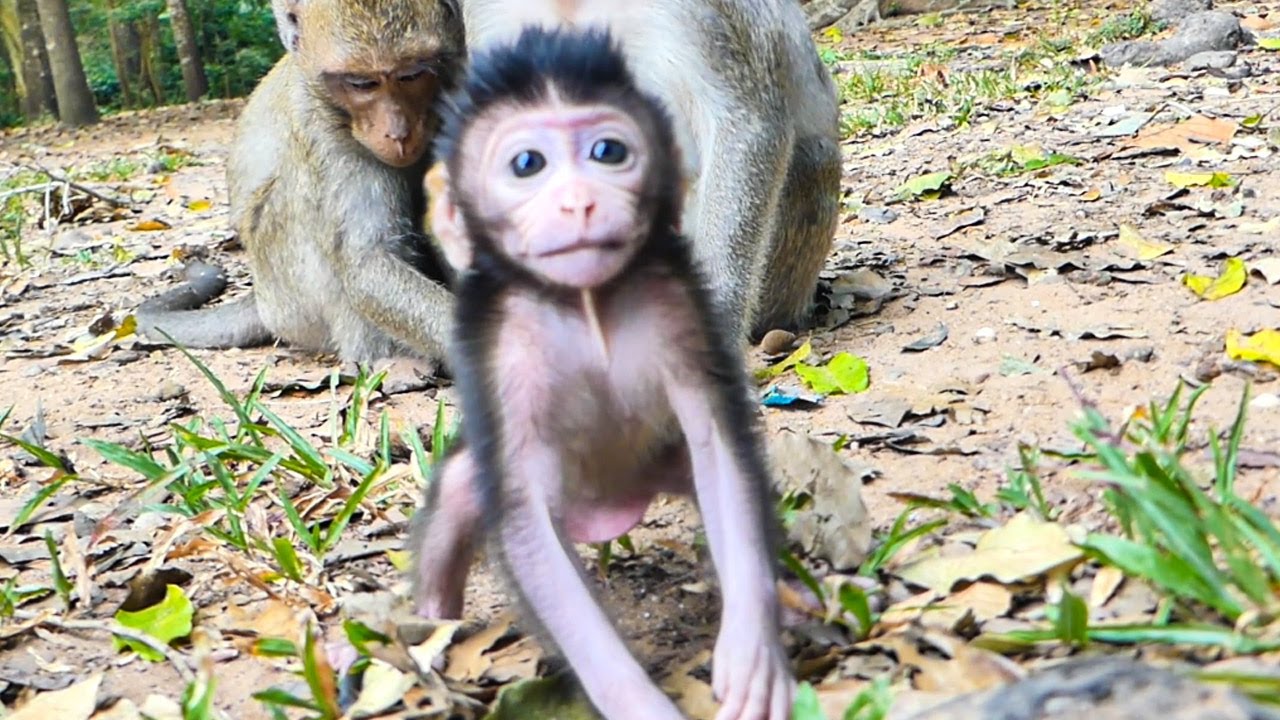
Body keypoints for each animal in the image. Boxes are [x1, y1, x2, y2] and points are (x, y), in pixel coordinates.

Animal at [134, 0, 465, 365]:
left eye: (412, 75)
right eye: (362, 83)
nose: (397, 133)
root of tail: (262, 299)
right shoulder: (325, 137)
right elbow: (367, 264)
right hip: (290, 300)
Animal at [411, 26, 794, 720]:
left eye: (608, 152)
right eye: (527, 165)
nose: (580, 202)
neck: (586, 304)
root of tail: (612, 508)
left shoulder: (675, 305)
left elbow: (721, 453)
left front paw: (754, 653)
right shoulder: (506, 347)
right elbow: (525, 519)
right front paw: (635, 701)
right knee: (458, 493)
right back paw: (430, 631)